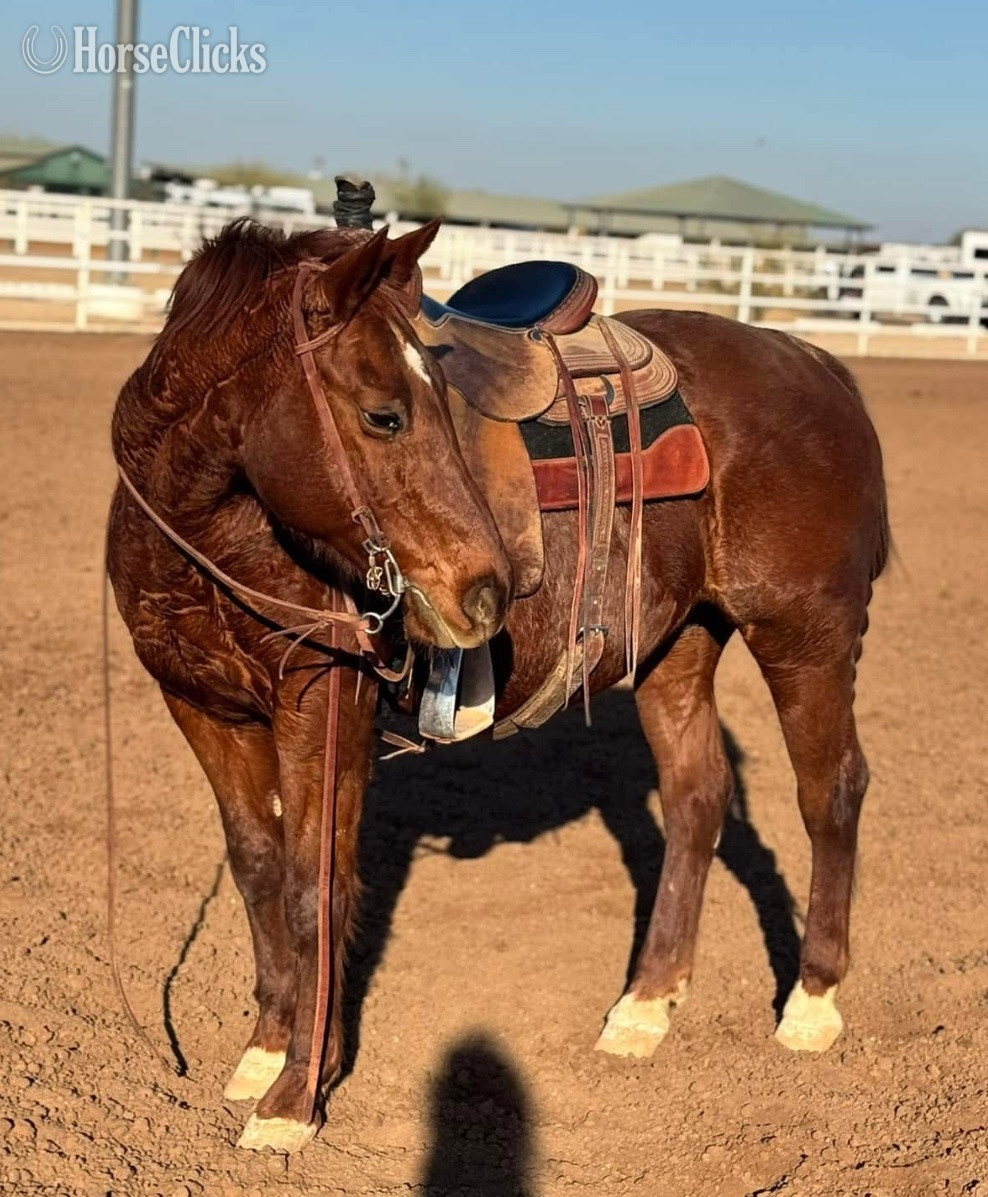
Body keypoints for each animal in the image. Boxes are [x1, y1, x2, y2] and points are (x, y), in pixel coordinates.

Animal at [107, 218, 888, 1153]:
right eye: (385, 414)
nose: (488, 591)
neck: (222, 535)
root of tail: (815, 360)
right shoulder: (200, 707)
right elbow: (258, 870)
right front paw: (264, 1053)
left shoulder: (323, 705)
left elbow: (313, 886)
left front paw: (295, 1096)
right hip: (679, 643)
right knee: (697, 795)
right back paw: (645, 1005)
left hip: (805, 637)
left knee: (830, 792)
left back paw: (810, 1003)